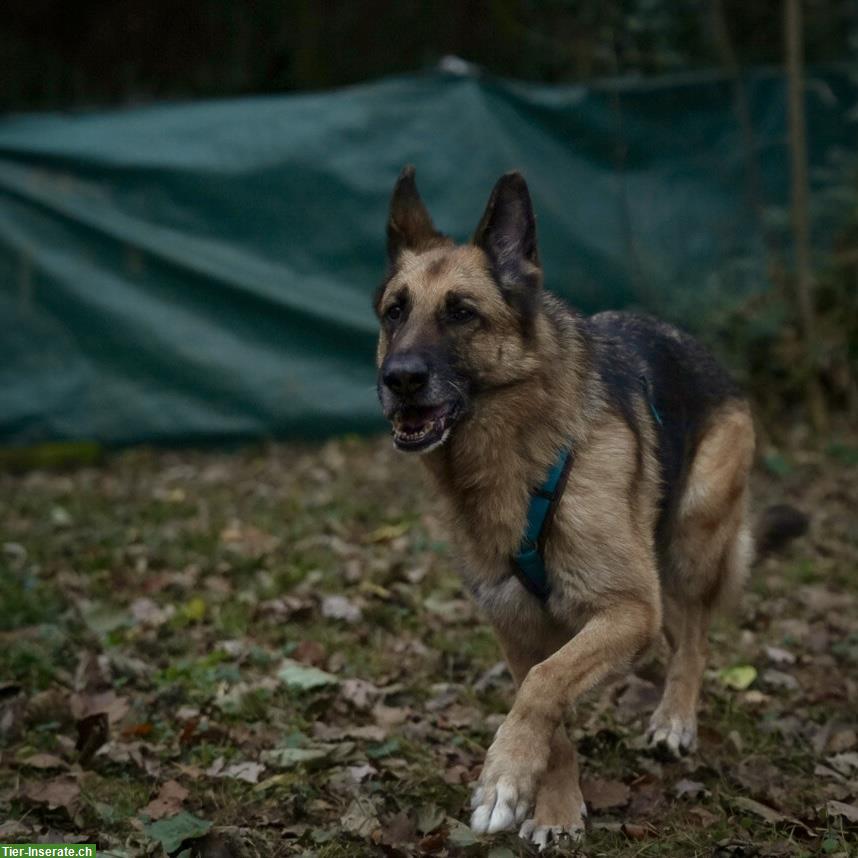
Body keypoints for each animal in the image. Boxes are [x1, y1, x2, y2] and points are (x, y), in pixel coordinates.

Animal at [372, 169, 772, 848]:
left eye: (461, 312)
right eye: (395, 312)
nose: (398, 380)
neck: (515, 460)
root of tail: (694, 343)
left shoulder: (629, 609)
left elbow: (545, 685)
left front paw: (503, 777)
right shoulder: (517, 625)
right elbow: (552, 713)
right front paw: (554, 807)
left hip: (690, 543)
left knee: (694, 635)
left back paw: (675, 718)